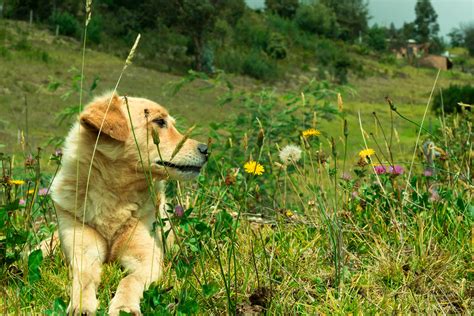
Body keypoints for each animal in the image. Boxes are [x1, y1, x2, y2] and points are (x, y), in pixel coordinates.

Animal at [49, 92, 208, 314]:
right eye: (159, 122)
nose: (206, 149)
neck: (113, 196)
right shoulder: (82, 252)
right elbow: (83, 278)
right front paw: (81, 305)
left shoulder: (147, 258)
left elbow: (129, 281)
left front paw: (124, 306)